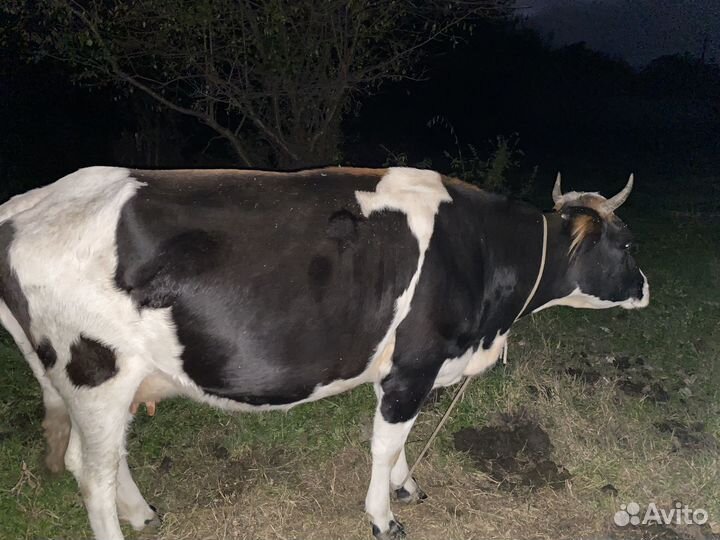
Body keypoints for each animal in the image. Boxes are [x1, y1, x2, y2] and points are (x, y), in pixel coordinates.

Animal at [0, 166, 648, 540]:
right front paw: (384, 515)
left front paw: (405, 487)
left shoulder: (409, 368)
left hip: (85, 379)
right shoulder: (414, 362)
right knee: (93, 474)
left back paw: (142, 513)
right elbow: (386, 441)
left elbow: (402, 442)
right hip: (94, 372)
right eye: (625, 243)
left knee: (104, 460)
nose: (645, 288)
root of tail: (24, 204)